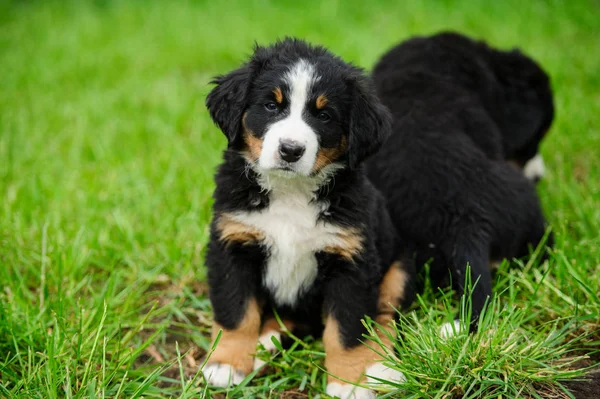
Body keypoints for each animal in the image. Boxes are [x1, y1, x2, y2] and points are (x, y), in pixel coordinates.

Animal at [202, 38, 412, 399]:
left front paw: (349, 382)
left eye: (324, 115)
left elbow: (346, 329)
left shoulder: (350, 262)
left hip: (398, 269)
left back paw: (381, 367)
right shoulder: (233, 246)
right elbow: (237, 312)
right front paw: (227, 364)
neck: (290, 192)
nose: (290, 150)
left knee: (384, 317)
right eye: (271, 106)